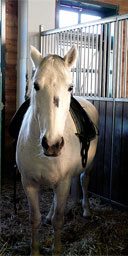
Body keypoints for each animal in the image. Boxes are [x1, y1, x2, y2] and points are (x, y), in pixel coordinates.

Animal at [15, 45, 98, 255]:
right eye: (36, 85)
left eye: (70, 87)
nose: (52, 145)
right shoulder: (29, 183)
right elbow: (34, 218)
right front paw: (35, 250)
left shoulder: (63, 183)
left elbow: (59, 219)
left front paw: (57, 249)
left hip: (88, 167)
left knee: (84, 181)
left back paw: (86, 210)